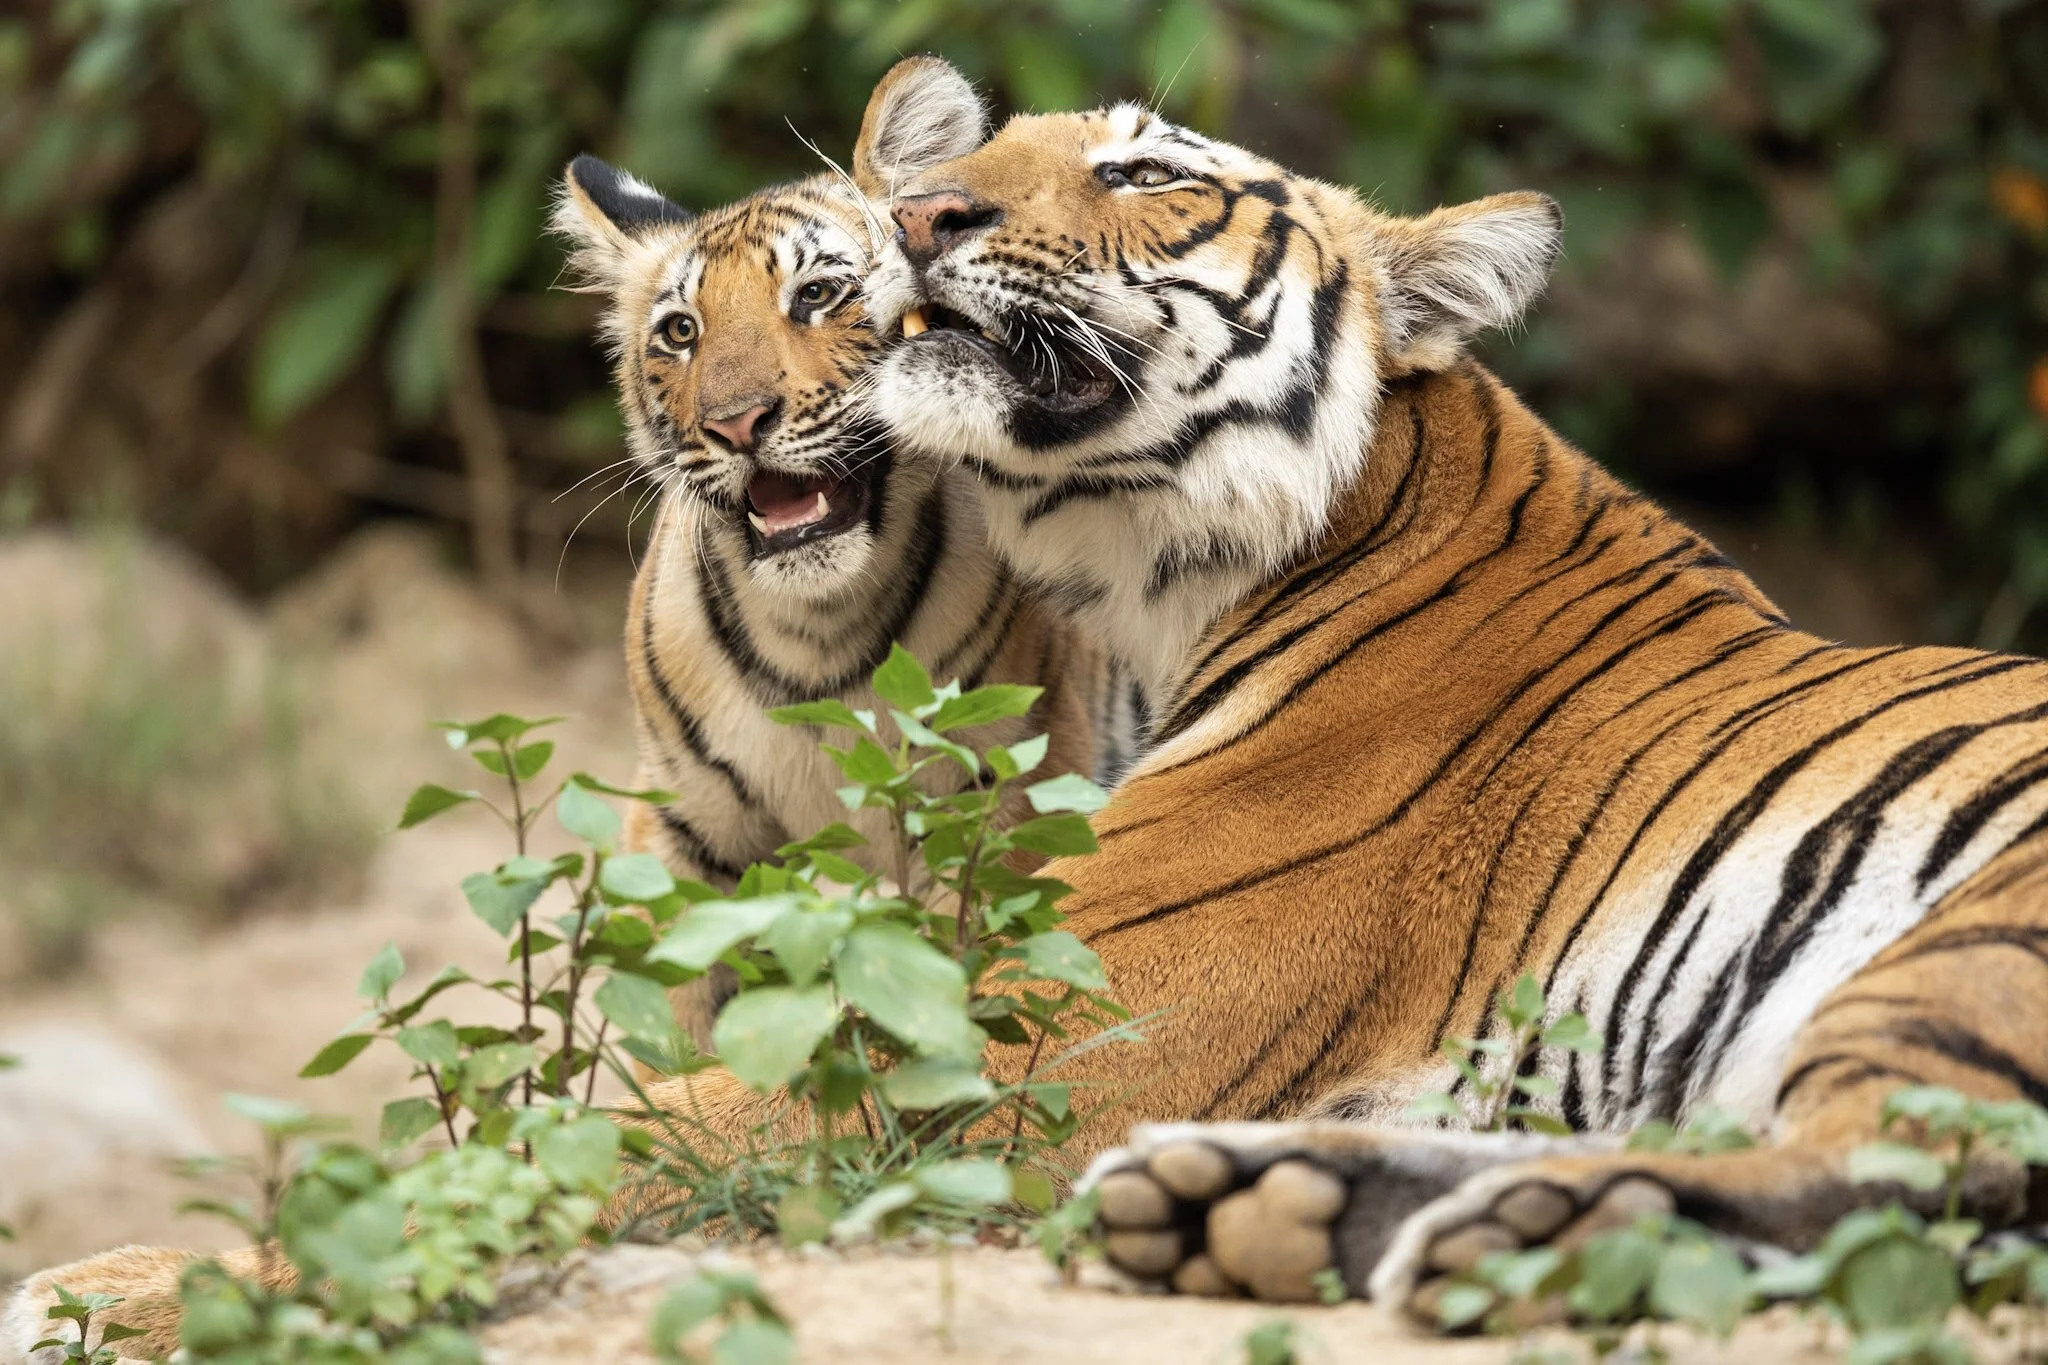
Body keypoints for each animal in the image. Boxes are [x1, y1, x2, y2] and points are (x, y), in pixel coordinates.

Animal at [843, 57, 2048, 1314]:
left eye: (1144, 171)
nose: (915, 210)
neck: (1158, 589)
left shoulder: (1059, 1014)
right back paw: (1255, 1200)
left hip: (1974, 944)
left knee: (1905, 1179)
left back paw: (1528, 1232)